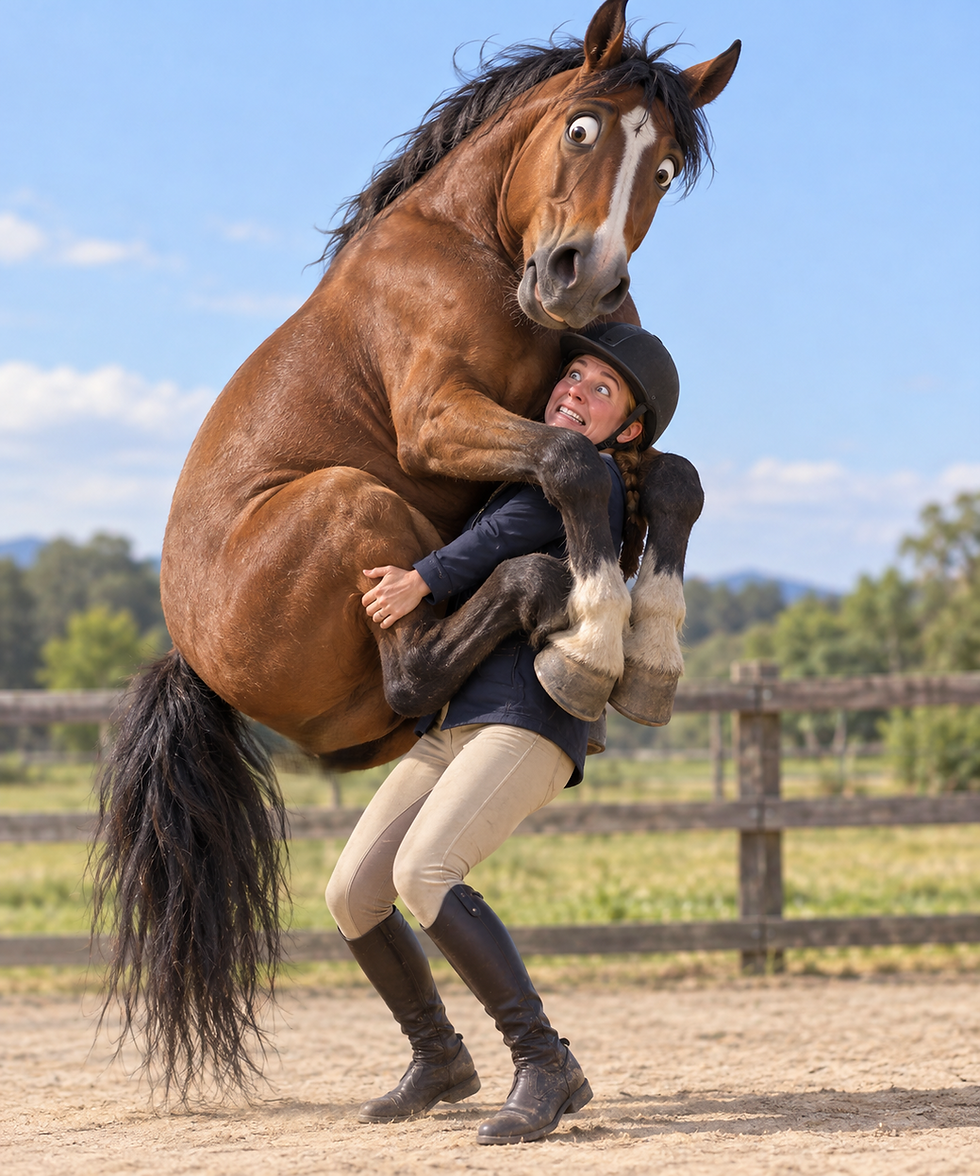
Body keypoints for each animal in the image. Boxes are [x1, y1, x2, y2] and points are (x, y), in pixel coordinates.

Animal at [92, 0, 739, 1097]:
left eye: (659, 171)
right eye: (580, 129)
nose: (584, 283)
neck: (478, 248)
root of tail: (192, 655)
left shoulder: (618, 436)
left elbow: (669, 479)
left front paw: (647, 654)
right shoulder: (439, 424)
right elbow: (571, 463)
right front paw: (597, 646)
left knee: (414, 698)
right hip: (352, 498)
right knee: (411, 667)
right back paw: (544, 604)